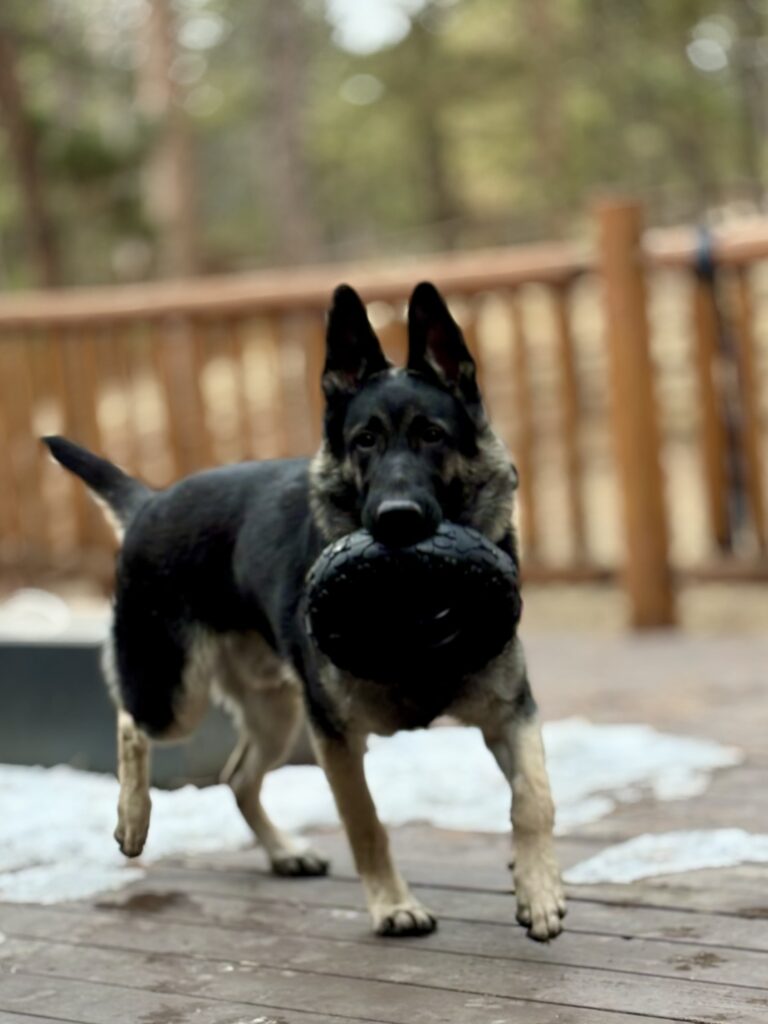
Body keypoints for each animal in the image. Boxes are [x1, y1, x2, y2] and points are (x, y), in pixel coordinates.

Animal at [46, 280, 565, 937]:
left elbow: (534, 797)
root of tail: (149, 502)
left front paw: (538, 887)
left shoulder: (510, 716)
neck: (415, 607)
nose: (396, 520)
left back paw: (284, 852)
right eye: (365, 440)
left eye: (432, 435)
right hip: (178, 698)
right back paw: (133, 817)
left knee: (237, 777)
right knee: (131, 721)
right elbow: (366, 823)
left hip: (274, 713)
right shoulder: (335, 739)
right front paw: (393, 905)